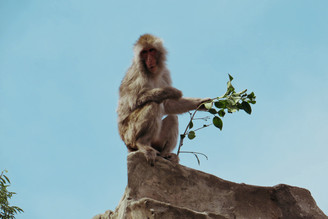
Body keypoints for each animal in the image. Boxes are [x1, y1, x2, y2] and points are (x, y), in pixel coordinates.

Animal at [118, 33, 209, 164]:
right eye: (144, 52)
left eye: (151, 50)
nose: (149, 60)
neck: (152, 73)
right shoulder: (137, 74)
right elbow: (133, 101)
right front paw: (171, 92)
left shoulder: (165, 72)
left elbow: (169, 105)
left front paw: (202, 103)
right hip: (130, 134)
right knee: (153, 104)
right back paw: (142, 144)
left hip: (156, 142)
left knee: (173, 118)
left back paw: (166, 155)